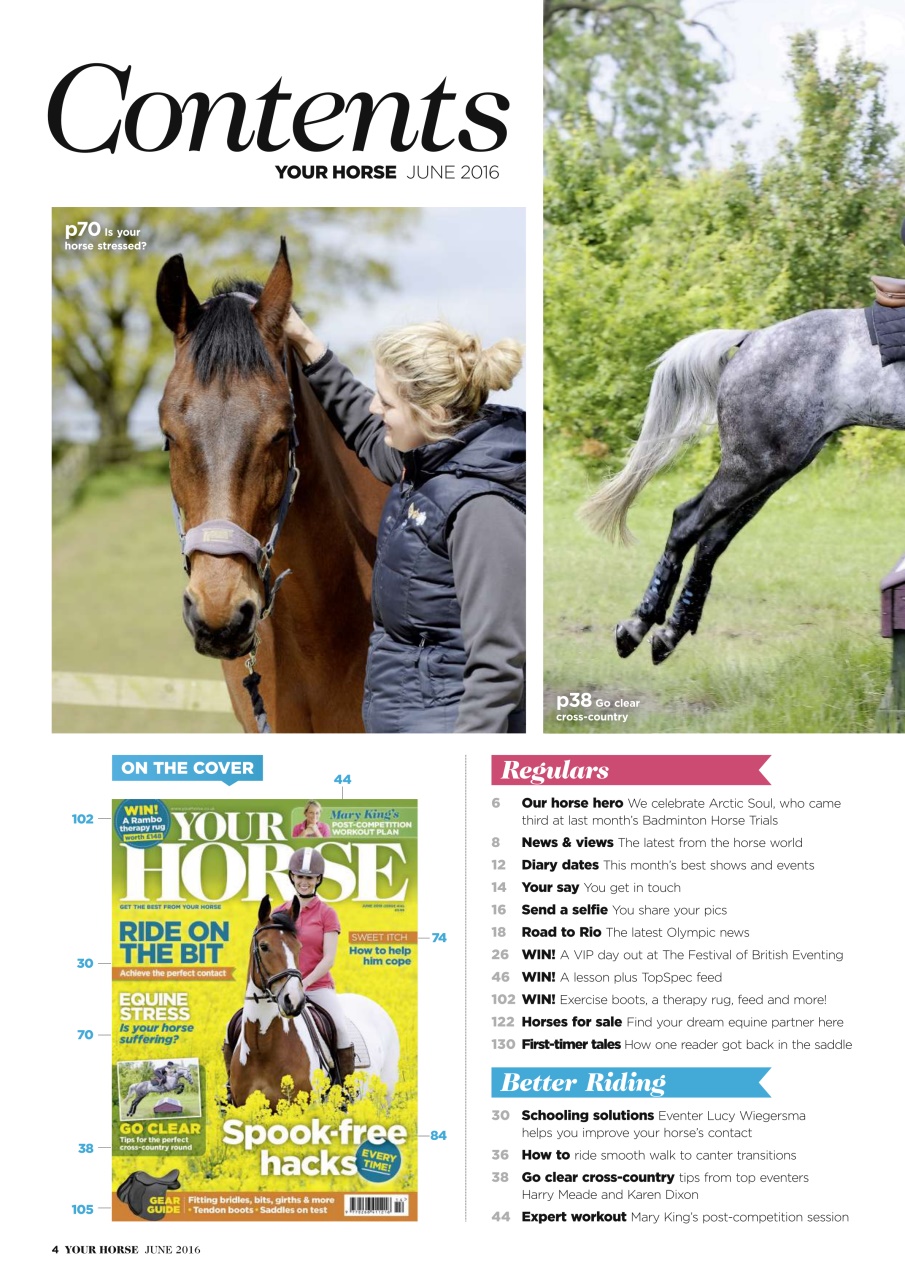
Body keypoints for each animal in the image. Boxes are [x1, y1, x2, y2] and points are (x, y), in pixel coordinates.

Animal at [582, 308, 905, 663]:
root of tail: (753, 338)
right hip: (753, 467)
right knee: (687, 522)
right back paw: (638, 626)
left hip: (777, 469)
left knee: (712, 539)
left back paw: (670, 632)